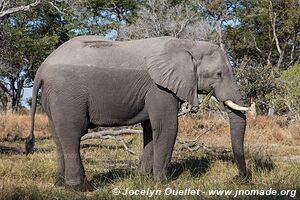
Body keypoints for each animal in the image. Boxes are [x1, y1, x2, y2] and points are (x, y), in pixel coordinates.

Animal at [25, 36, 248, 192]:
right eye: (219, 74)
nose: (240, 178)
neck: (188, 44)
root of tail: (42, 68)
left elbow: (150, 130)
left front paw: (144, 179)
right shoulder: (159, 88)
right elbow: (166, 127)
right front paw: (162, 184)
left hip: (53, 97)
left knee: (58, 137)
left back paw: (60, 184)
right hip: (67, 95)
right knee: (72, 134)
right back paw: (82, 189)